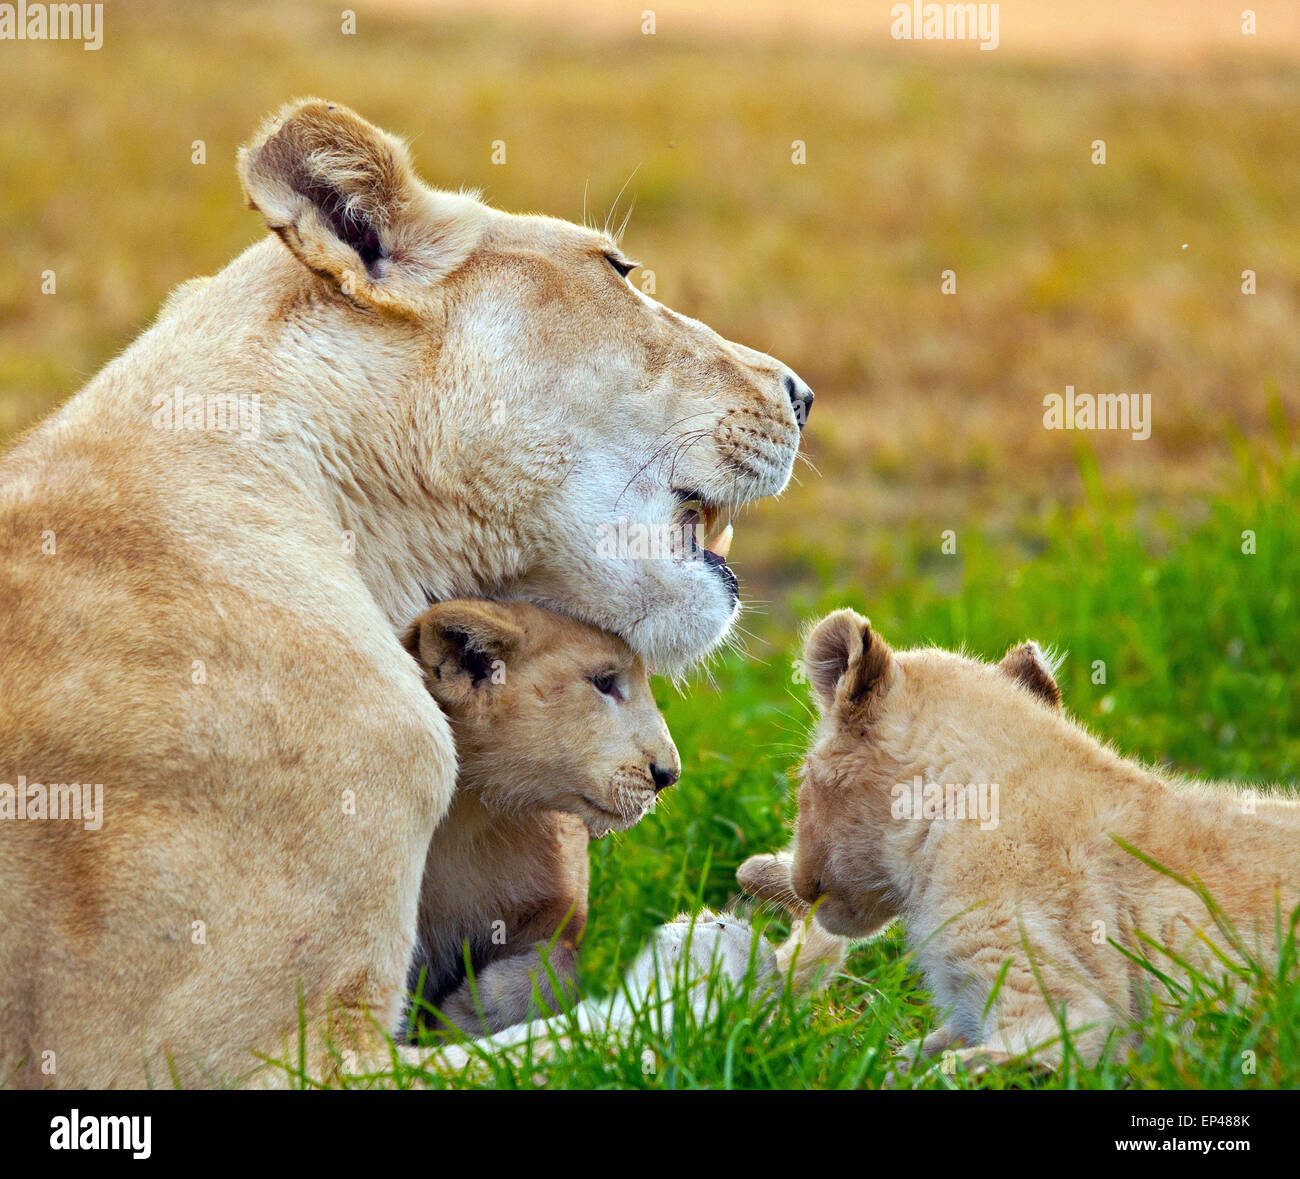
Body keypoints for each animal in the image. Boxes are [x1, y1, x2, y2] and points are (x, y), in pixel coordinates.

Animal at [399, 598, 679, 1037]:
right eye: (603, 682)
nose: (669, 775)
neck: (466, 816)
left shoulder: (558, 911)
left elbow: (564, 965)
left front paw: (472, 1009)